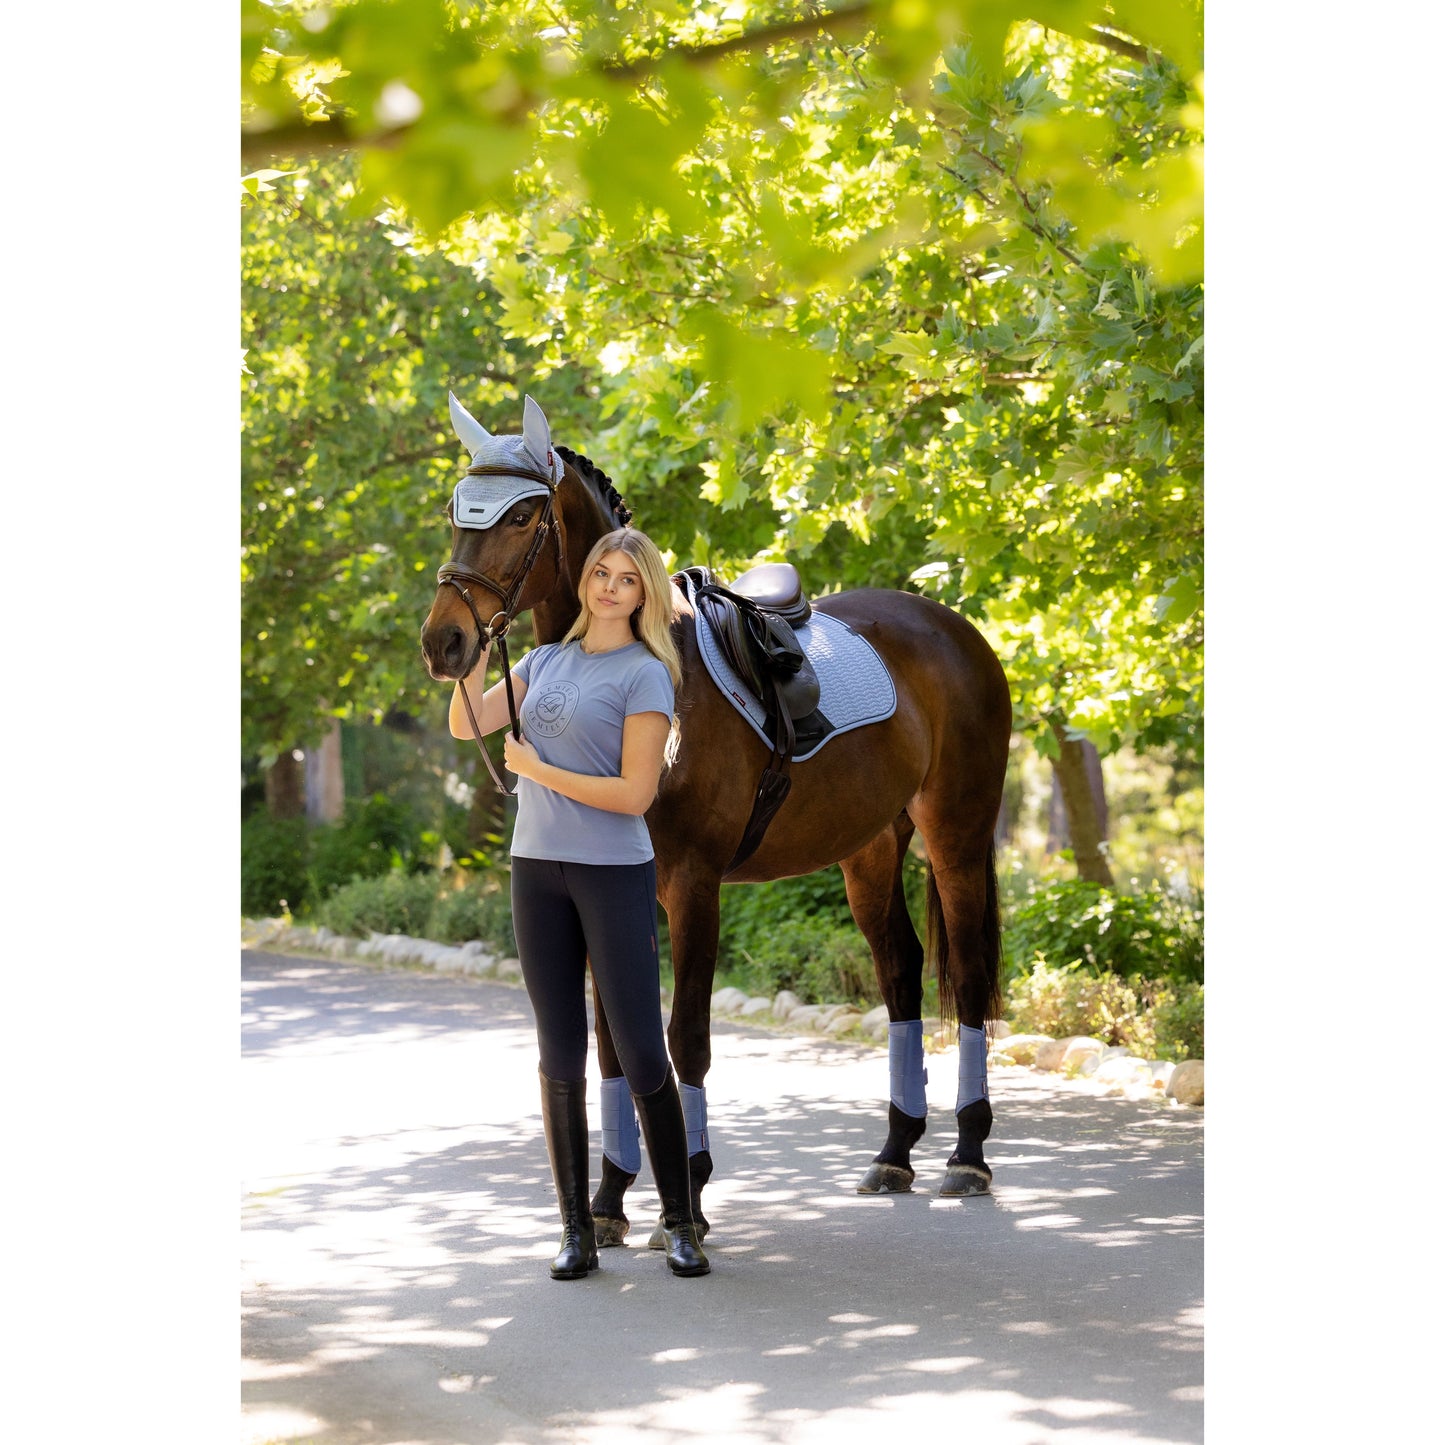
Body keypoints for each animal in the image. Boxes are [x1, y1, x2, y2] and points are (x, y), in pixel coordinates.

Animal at [420, 393, 1012, 1245]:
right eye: (454, 511)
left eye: (522, 514)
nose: (444, 641)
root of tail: (956, 632)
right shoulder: (615, 891)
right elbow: (615, 1046)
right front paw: (609, 1199)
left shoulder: (694, 886)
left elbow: (683, 1040)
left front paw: (689, 1196)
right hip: (868, 848)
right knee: (900, 970)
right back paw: (894, 1151)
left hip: (955, 834)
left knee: (963, 975)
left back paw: (966, 1154)